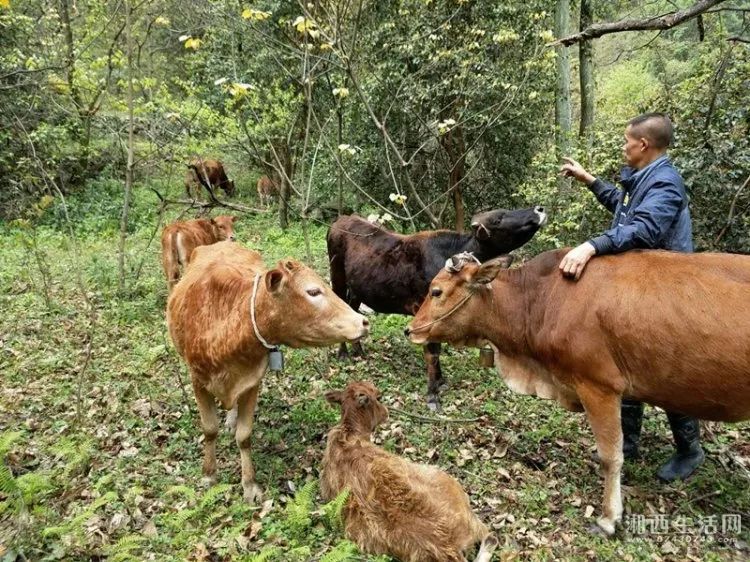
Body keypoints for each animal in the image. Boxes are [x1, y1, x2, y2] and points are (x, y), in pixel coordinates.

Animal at [169, 240, 372, 498]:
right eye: (313, 291)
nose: (363, 321)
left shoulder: (251, 382)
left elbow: (244, 435)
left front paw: (249, 484)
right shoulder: (197, 380)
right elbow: (209, 429)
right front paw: (209, 474)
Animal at [328, 208, 548, 410]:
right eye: (498, 218)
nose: (539, 210)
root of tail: (341, 219)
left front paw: (441, 382)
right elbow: (432, 353)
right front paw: (433, 396)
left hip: (357, 289)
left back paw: (358, 350)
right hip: (337, 278)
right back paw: (343, 353)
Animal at [408, 249, 750, 532]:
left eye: (436, 291)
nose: (411, 329)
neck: (541, 300)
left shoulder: (598, 386)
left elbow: (611, 456)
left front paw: (609, 518)